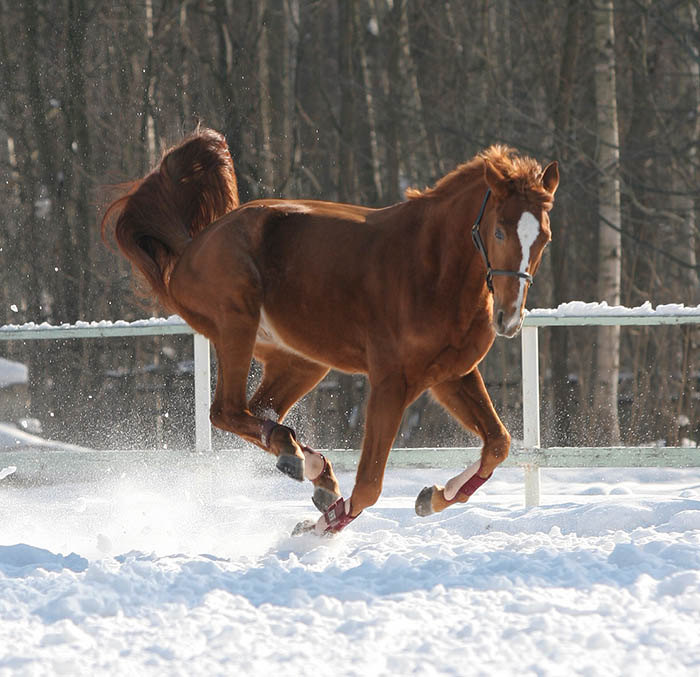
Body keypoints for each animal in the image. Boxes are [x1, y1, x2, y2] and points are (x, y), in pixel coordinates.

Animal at [102, 129, 556, 536]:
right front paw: (319, 527)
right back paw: (304, 464)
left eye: (544, 238)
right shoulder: (392, 383)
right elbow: (369, 486)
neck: (432, 269)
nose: (508, 319)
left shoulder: (451, 377)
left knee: (261, 410)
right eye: (499, 231)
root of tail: (190, 249)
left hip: (302, 360)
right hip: (236, 325)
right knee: (226, 411)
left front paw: (432, 496)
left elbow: (498, 443)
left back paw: (310, 466)